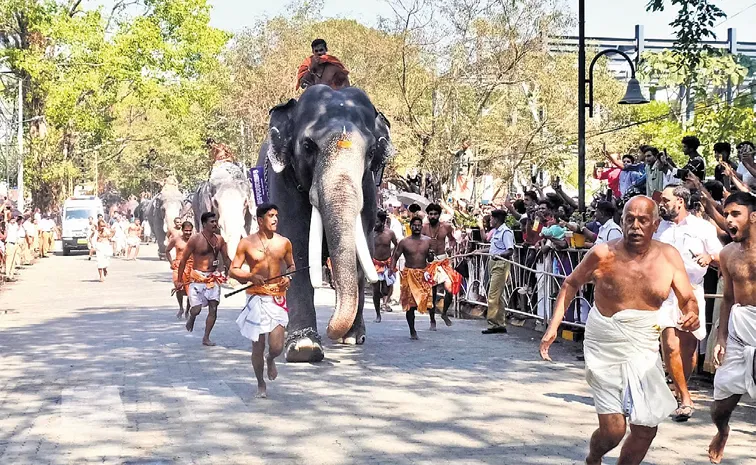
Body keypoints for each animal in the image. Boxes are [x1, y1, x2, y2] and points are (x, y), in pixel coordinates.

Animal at [258, 86, 392, 362]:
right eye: (308, 146)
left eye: (371, 152)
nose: (330, 327)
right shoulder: (281, 181)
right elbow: (295, 247)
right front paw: (304, 348)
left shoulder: (368, 189)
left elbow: (360, 252)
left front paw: (350, 338)